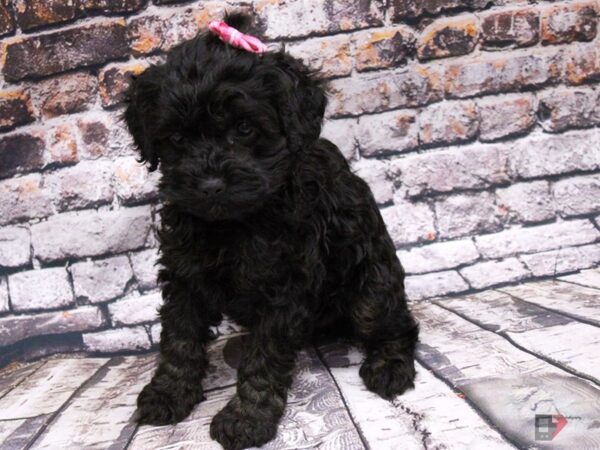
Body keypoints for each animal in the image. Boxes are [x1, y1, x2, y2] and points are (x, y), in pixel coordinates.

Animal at [125, 13, 420, 450]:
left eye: (245, 129)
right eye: (176, 138)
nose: (210, 185)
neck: (234, 223)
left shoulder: (283, 283)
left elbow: (265, 356)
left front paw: (247, 418)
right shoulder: (185, 273)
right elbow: (179, 336)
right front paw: (168, 392)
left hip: (372, 288)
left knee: (397, 324)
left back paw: (389, 366)